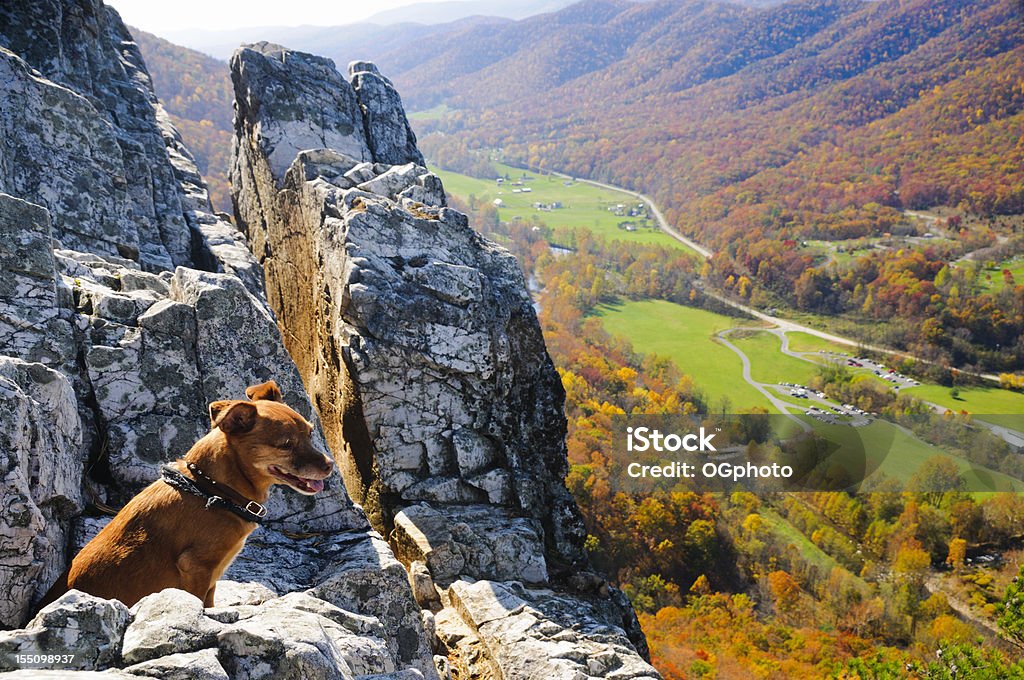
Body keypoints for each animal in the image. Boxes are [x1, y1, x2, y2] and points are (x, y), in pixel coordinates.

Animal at [39, 378, 333, 606]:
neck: (210, 489)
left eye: (310, 433)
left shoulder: (212, 577)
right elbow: (200, 605)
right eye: (286, 445)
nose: (330, 465)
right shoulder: (197, 568)